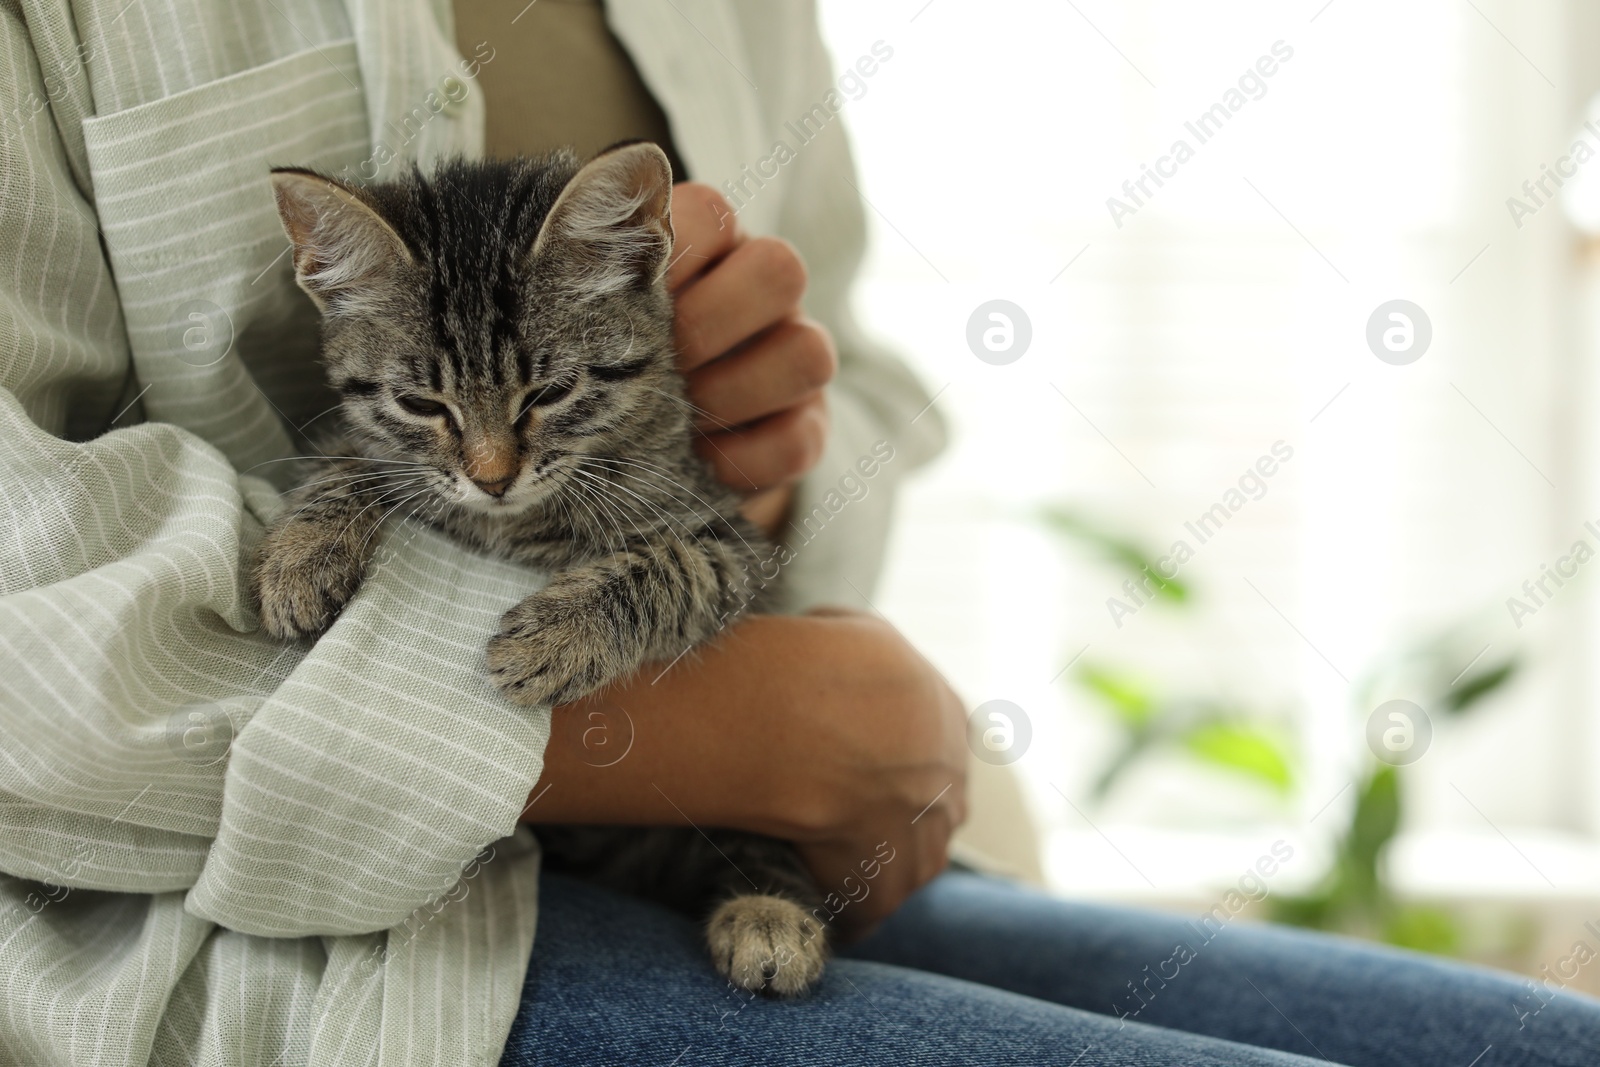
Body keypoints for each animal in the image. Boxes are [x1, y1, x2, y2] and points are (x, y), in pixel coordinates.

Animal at [252, 146, 825, 998]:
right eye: (422, 403)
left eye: (551, 393)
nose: (492, 477)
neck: (509, 523)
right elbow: (354, 458)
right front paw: (301, 554)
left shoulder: (735, 545)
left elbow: (668, 565)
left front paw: (556, 636)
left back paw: (770, 912)